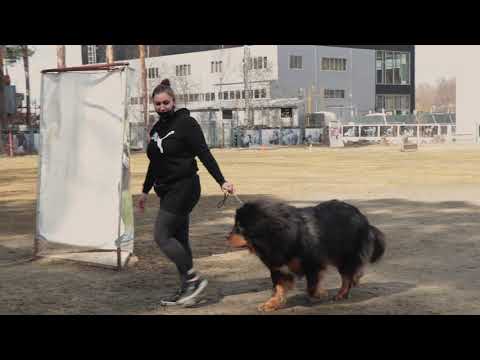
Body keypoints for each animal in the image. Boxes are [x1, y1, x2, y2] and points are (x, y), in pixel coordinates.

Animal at [228, 198, 386, 310]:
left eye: (240, 228)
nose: (226, 237)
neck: (282, 236)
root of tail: (362, 218)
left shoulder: (313, 264)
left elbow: (311, 286)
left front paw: (319, 294)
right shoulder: (279, 269)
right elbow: (279, 288)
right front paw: (271, 304)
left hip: (344, 257)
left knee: (347, 277)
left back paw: (342, 293)